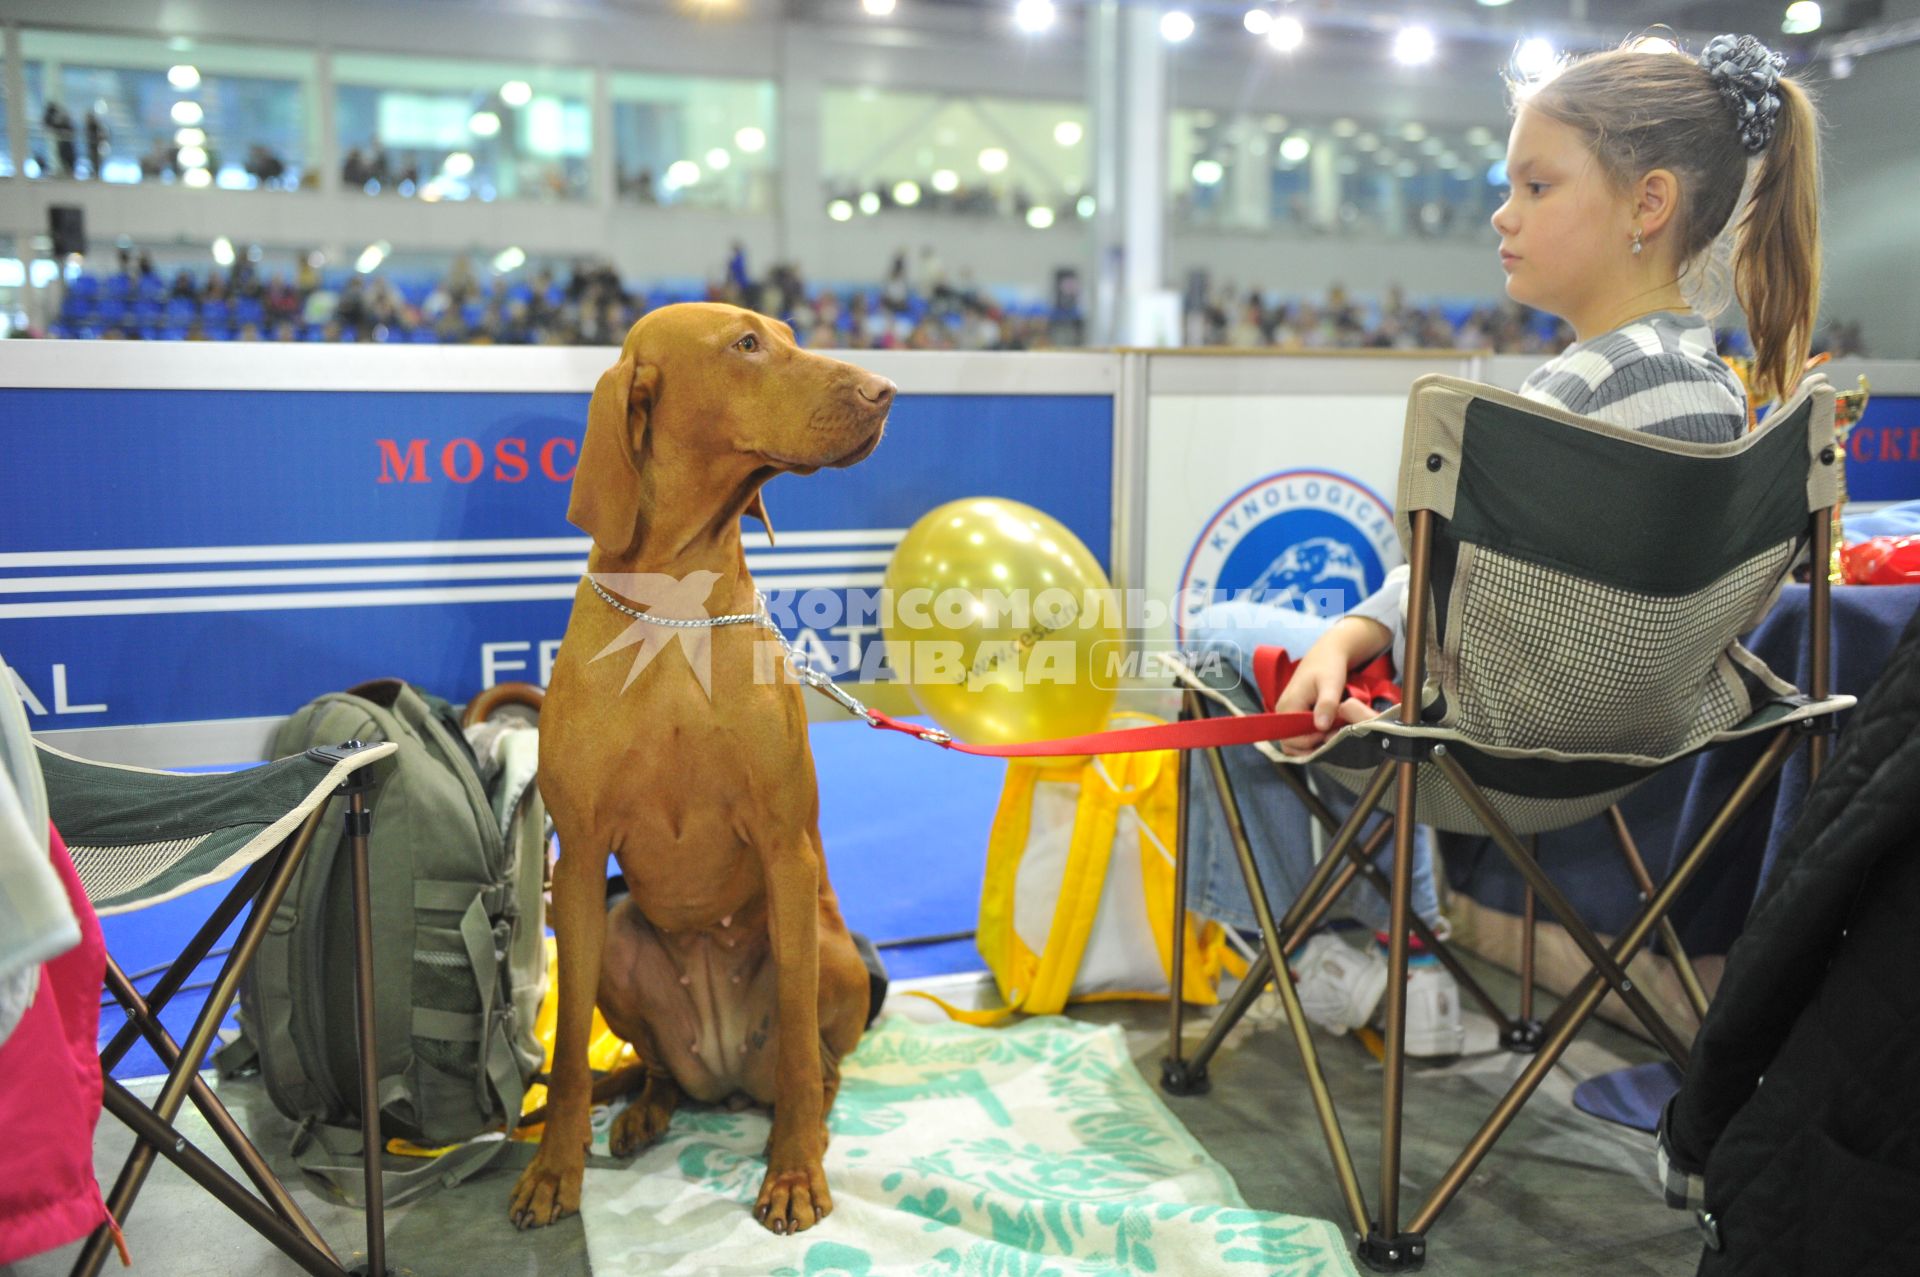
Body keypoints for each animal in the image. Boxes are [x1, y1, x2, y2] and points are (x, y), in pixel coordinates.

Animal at [510, 301, 898, 1236]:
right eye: (747, 345)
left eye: (788, 334)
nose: (885, 391)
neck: (677, 604)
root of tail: (719, 1077)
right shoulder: (580, 864)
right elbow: (567, 1052)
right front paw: (554, 1169)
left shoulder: (786, 848)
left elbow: (795, 1045)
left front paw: (792, 1171)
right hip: (618, 932)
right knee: (656, 1068)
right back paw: (645, 1110)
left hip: (828, 948)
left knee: (815, 1061)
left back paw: (806, 1121)